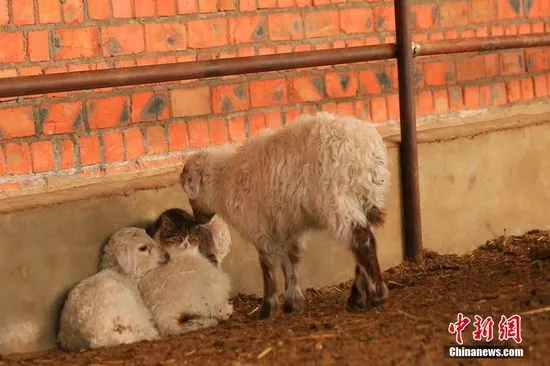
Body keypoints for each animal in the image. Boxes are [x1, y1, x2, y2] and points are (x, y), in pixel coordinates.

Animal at [179, 111, 390, 318]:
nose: (197, 219)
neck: (225, 180)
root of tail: (367, 150)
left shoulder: (259, 226)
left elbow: (267, 264)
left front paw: (267, 307)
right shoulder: (287, 224)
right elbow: (291, 261)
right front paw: (293, 301)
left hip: (338, 200)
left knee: (362, 240)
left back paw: (377, 294)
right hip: (367, 199)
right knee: (365, 242)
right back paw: (358, 298)